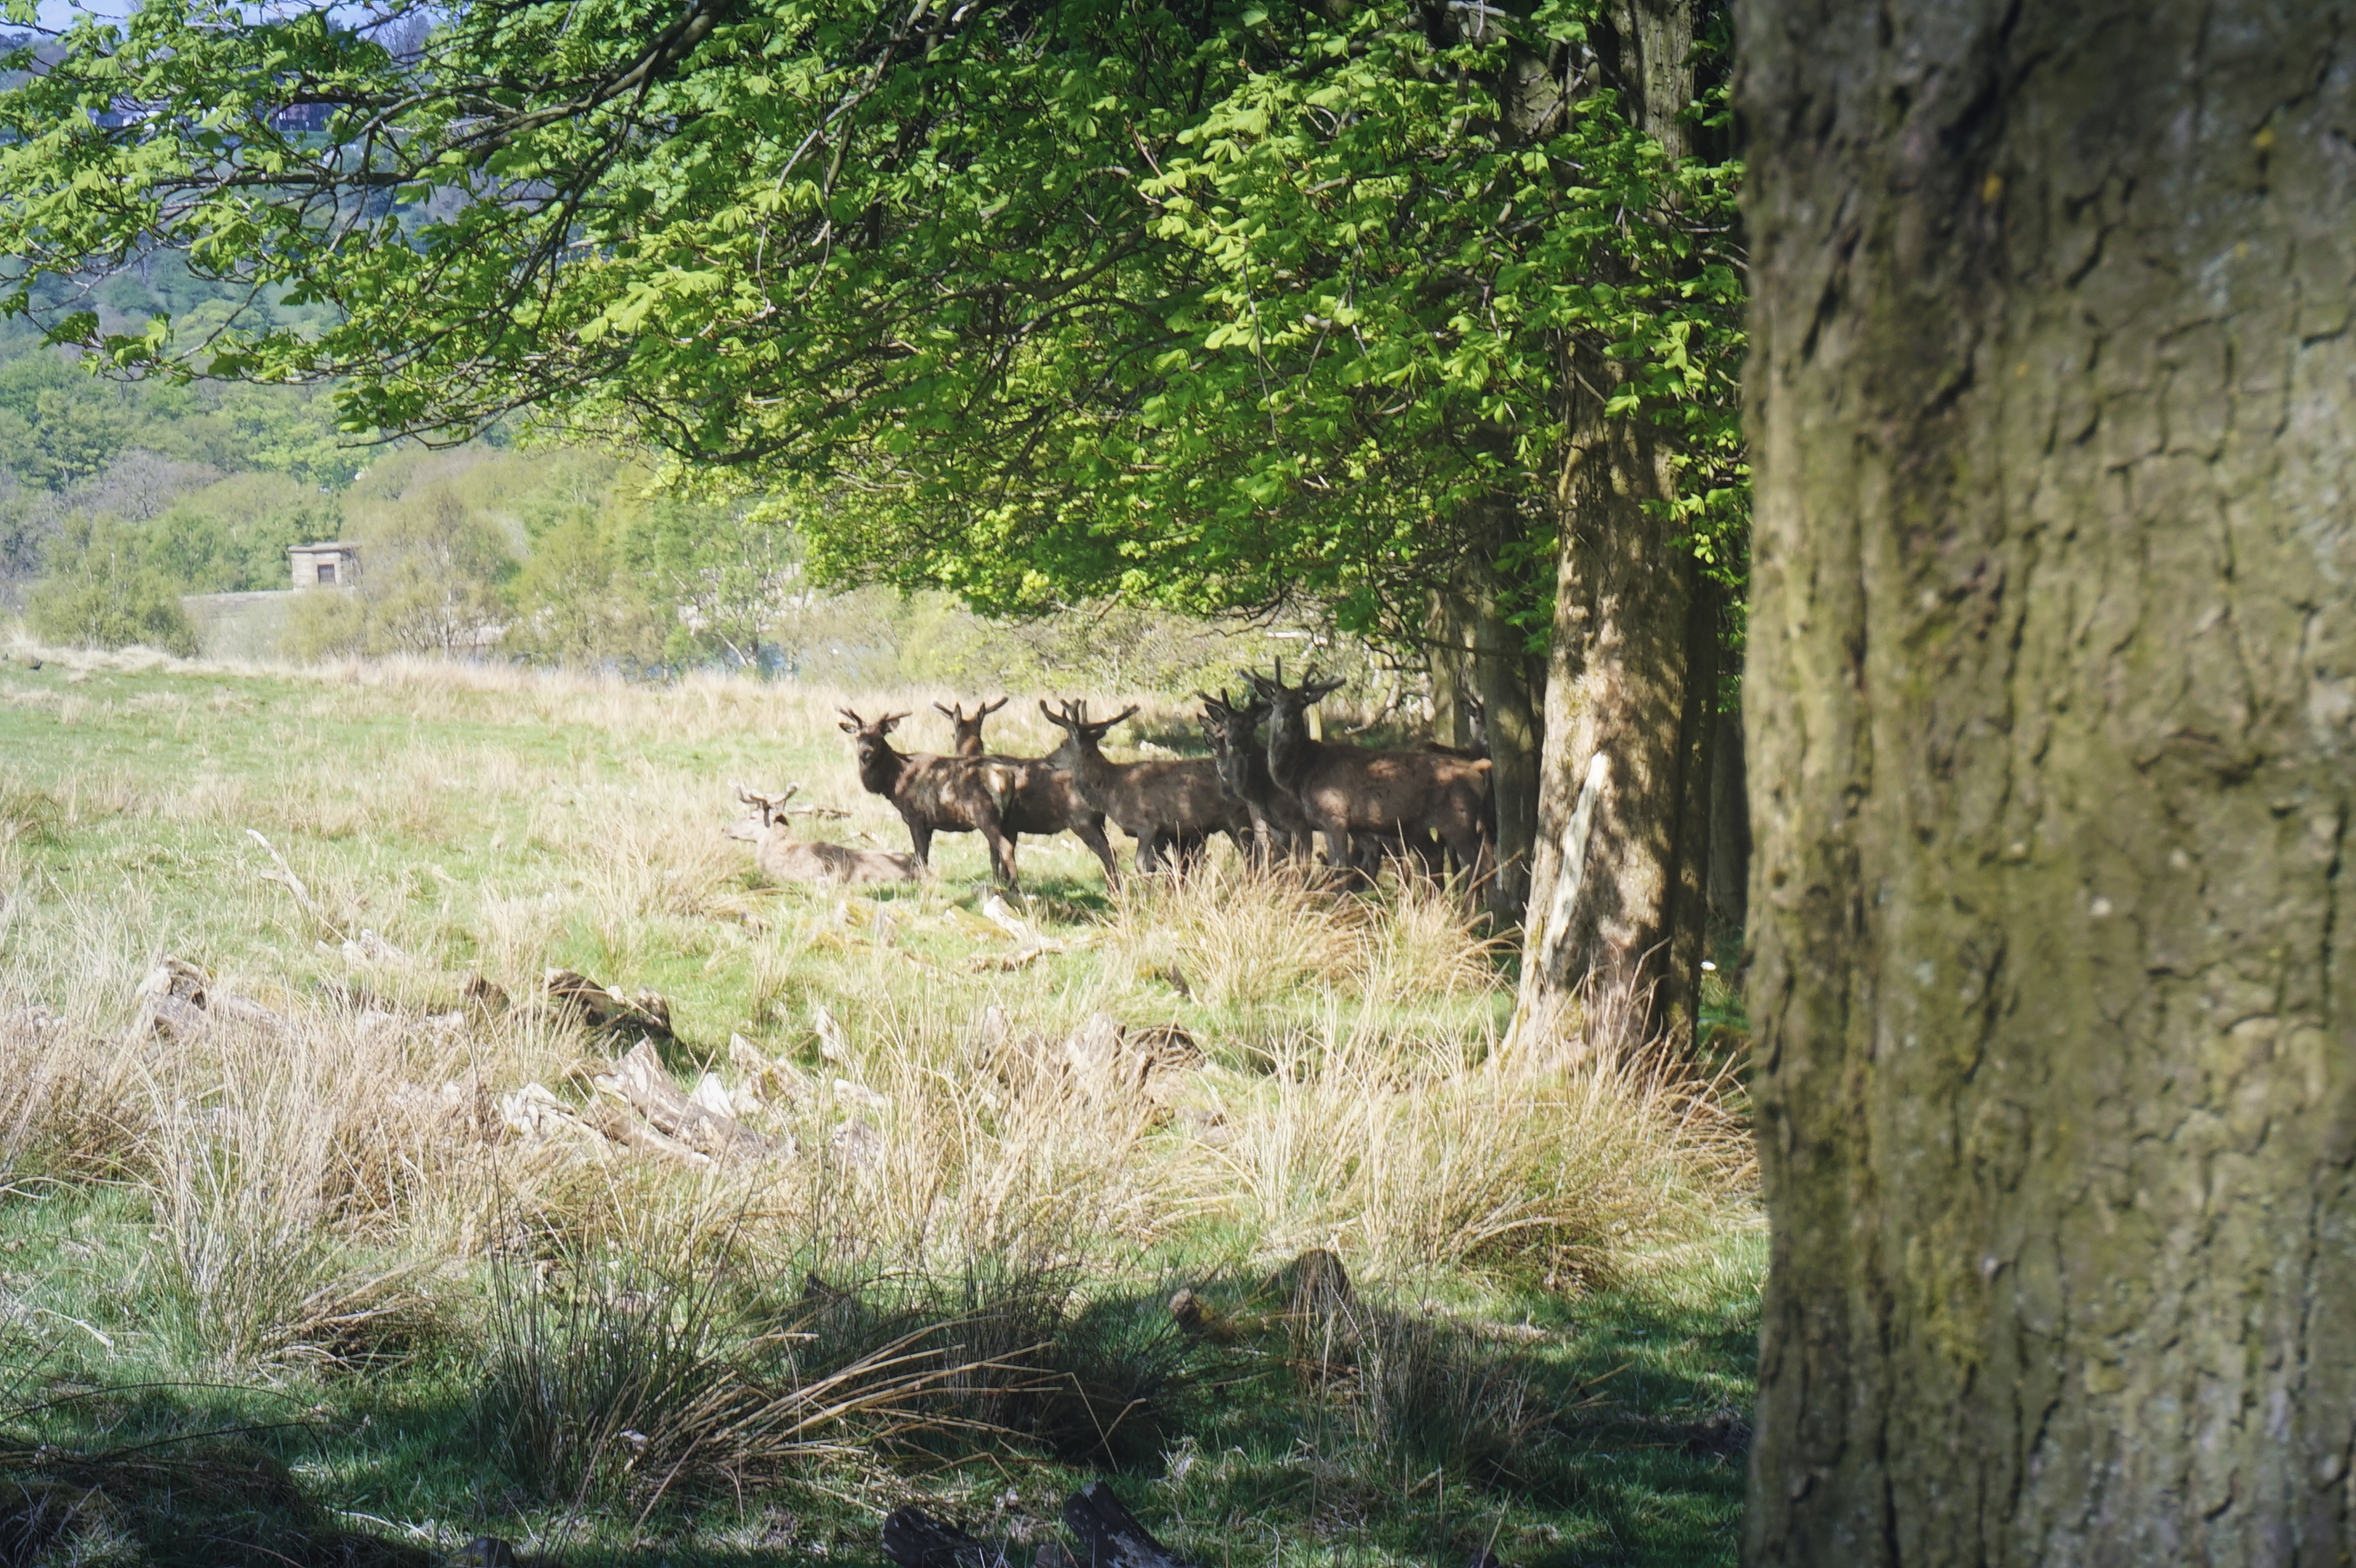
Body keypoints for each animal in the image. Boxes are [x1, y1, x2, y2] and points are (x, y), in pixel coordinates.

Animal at [838, 708, 1021, 885]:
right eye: (858, 737)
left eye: (879, 736)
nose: (865, 754)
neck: (893, 783)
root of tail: (1007, 777)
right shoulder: (929, 824)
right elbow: (924, 855)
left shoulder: (916, 817)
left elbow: (920, 855)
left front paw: (922, 881)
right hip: (1005, 820)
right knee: (1001, 848)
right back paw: (1002, 882)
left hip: (985, 814)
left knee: (1004, 847)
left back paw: (1014, 883)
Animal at [1039, 698, 1250, 874]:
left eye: (1063, 744)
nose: (1047, 760)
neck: (1112, 791)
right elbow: (1155, 865)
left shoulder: (1149, 824)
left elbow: (1141, 865)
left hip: (1240, 817)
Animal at [1242, 668, 1494, 887]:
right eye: (1275, 701)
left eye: (1302, 703)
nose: (1286, 716)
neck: (1304, 774)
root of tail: (1477, 771)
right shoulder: (1328, 823)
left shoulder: (1336, 816)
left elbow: (1341, 868)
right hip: (1422, 826)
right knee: (1444, 859)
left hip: (1458, 818)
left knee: (1480, 863)